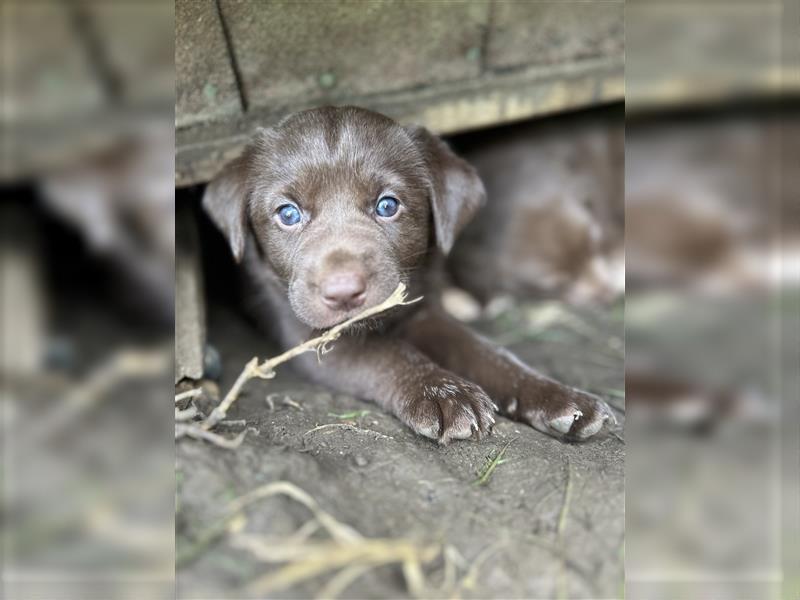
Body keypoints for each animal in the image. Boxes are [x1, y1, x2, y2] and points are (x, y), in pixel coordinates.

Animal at [202, 106, 612, 446]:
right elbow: (388, 354)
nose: (344, 292)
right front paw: (443, 393)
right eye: (288, 214)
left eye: (388, 206)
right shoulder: (314, 338)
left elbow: (486, 352)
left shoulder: (423, 310)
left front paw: (558, 395)